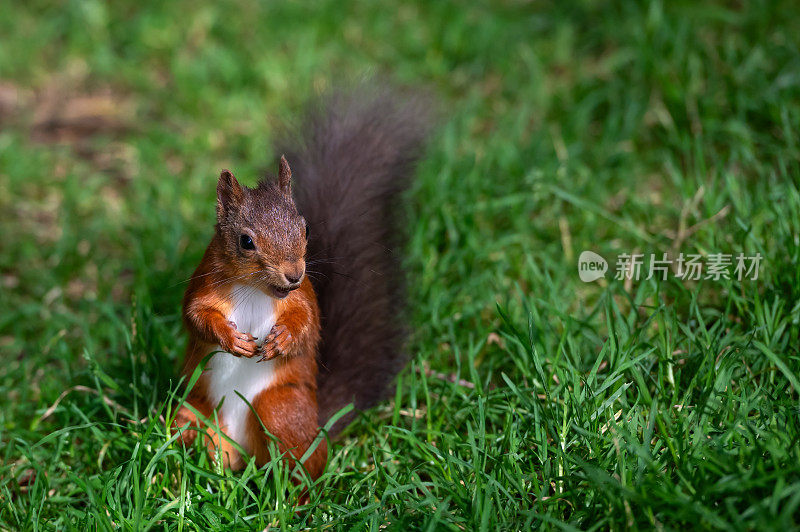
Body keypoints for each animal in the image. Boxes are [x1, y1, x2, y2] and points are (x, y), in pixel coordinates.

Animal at [170, 89, 432, 480]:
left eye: (305, 228)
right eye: (246, 241)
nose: (293, 274)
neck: (255, 291)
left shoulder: (304, 296)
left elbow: (309, 322)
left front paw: (284, 339)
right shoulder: (207, 282)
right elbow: (195, 315)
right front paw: (230, 338)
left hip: (281, 409)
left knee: (300, 461)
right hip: (193, 412)